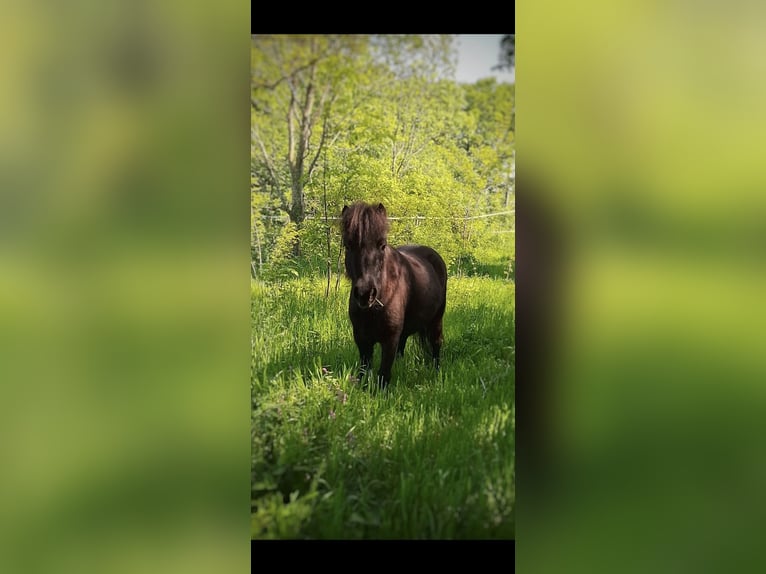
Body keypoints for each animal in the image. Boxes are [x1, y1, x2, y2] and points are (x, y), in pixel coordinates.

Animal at [340, 201, 448, 389]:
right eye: (348, 245)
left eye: (382, 245)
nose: (365, 293)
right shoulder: (361, 339)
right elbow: (364, 371)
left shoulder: (389, 339)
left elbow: (383, 374)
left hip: (436, 320)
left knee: (436, 344)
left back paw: (436, 373)